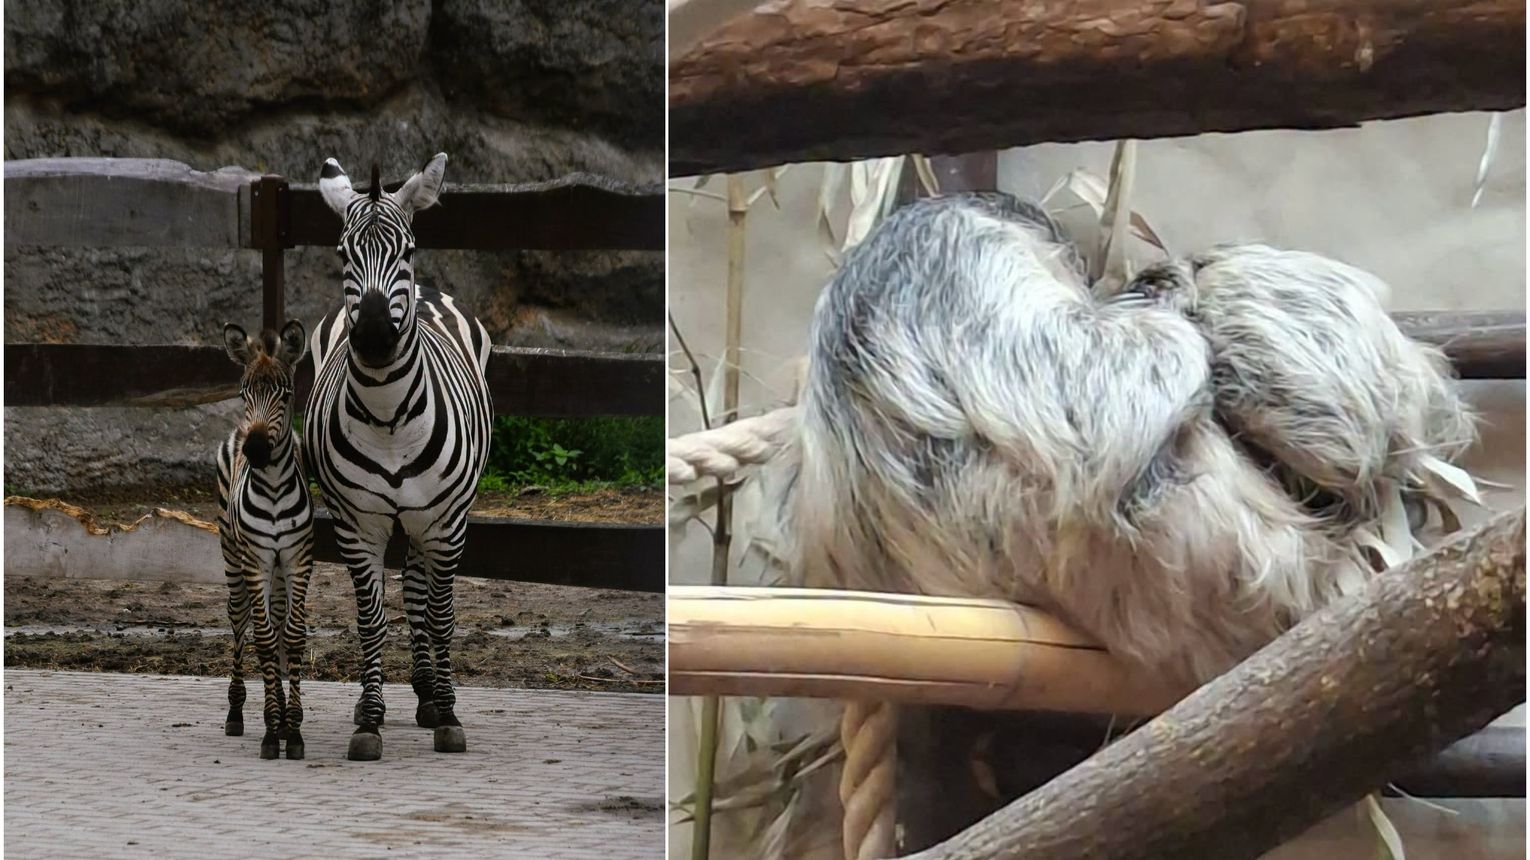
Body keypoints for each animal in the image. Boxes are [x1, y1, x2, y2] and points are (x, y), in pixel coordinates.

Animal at [305, 153, 492, 761]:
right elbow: (370, 621)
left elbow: (442, 616)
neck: (388, 417)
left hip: (435, 514)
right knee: (406, 593)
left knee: (419, 592)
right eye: (343, 254)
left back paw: (432, 695)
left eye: (406, 250)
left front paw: (449, 717)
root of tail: (432, 290)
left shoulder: (446, 522)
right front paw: (369, 719)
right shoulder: (355, 524)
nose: (372, 337)